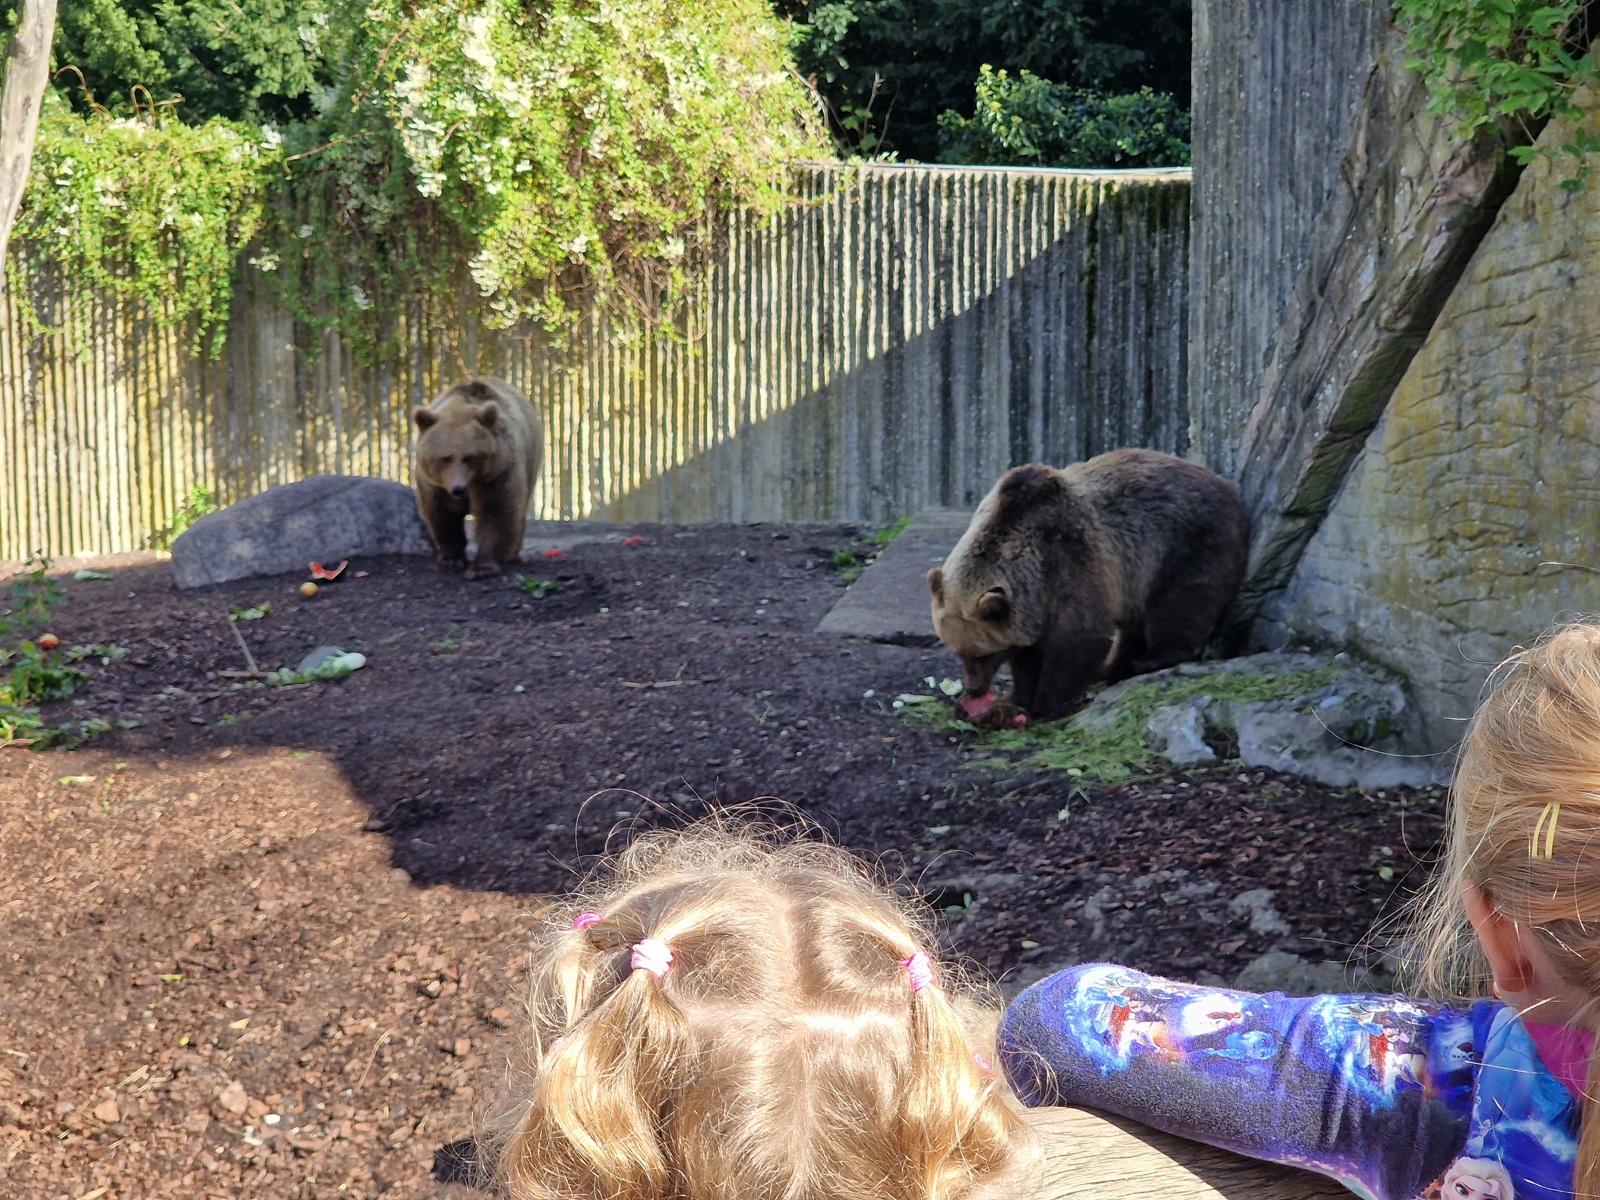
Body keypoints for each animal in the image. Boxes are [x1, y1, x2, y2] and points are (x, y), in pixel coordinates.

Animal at [412, 377, 544, 579]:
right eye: (445, 458)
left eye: (470, 457)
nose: (458, 489)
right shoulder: (434, 484)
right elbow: (442, 514)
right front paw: (451, 559)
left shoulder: (497, 475)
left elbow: (495, 513)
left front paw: (482, 568)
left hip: (531, 456)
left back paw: (513, 554)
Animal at [928, 448, 1248, 723]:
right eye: (958, 652)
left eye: (984, 654)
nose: (974, 688)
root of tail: (1222, 482)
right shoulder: (1030, 603)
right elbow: (1027, 654)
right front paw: (1018, 696)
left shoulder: (1071, 564)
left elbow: (1078, 640)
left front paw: (1045, 704)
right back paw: (1117, 666)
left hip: (1185, 543)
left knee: (1180, 605)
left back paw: (1149, 660)